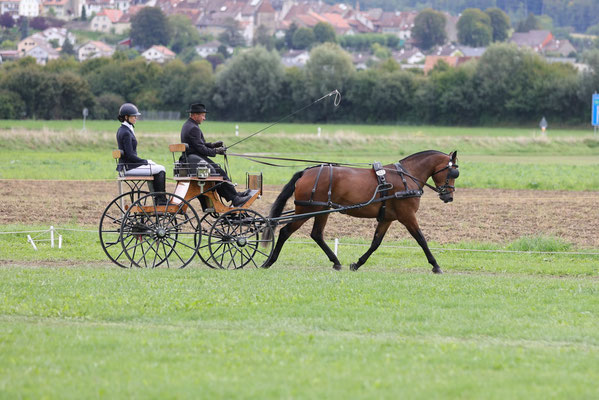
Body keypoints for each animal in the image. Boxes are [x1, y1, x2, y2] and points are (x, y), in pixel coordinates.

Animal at [264, 148, 460, 274]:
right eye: (453, 173)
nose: (449, 197)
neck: (406, 176)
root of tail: (305, 172)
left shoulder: (387, 218)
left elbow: (376, 243)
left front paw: (357, 264)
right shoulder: (407, 216)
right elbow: (421, 239)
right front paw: (435, 265)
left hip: (322, 209)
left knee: (316, 234)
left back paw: (336, 262)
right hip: (306, 209)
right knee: (285, 231)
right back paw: (269, 261)